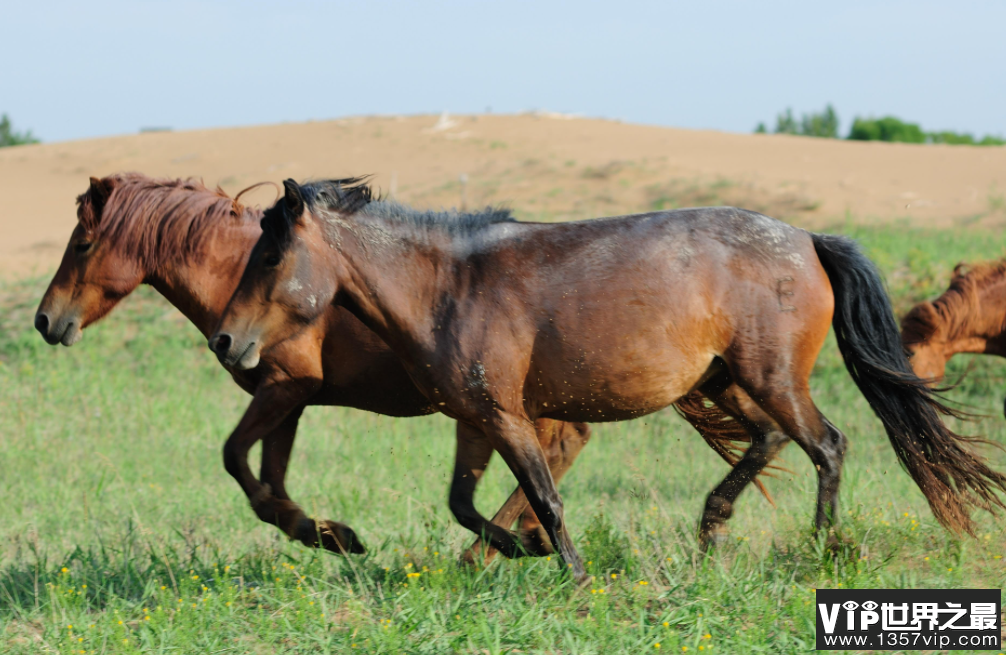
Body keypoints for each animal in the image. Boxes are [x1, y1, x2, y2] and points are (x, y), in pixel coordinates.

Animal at [29, 174, 756, 563]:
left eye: (83, 243)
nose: (44, 321)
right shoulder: (290, 398)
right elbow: (268, 476)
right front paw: (326, 533)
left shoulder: (286, 388)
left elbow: (237, 459)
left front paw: (331, 536)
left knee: (555, 453)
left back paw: (500, 549)